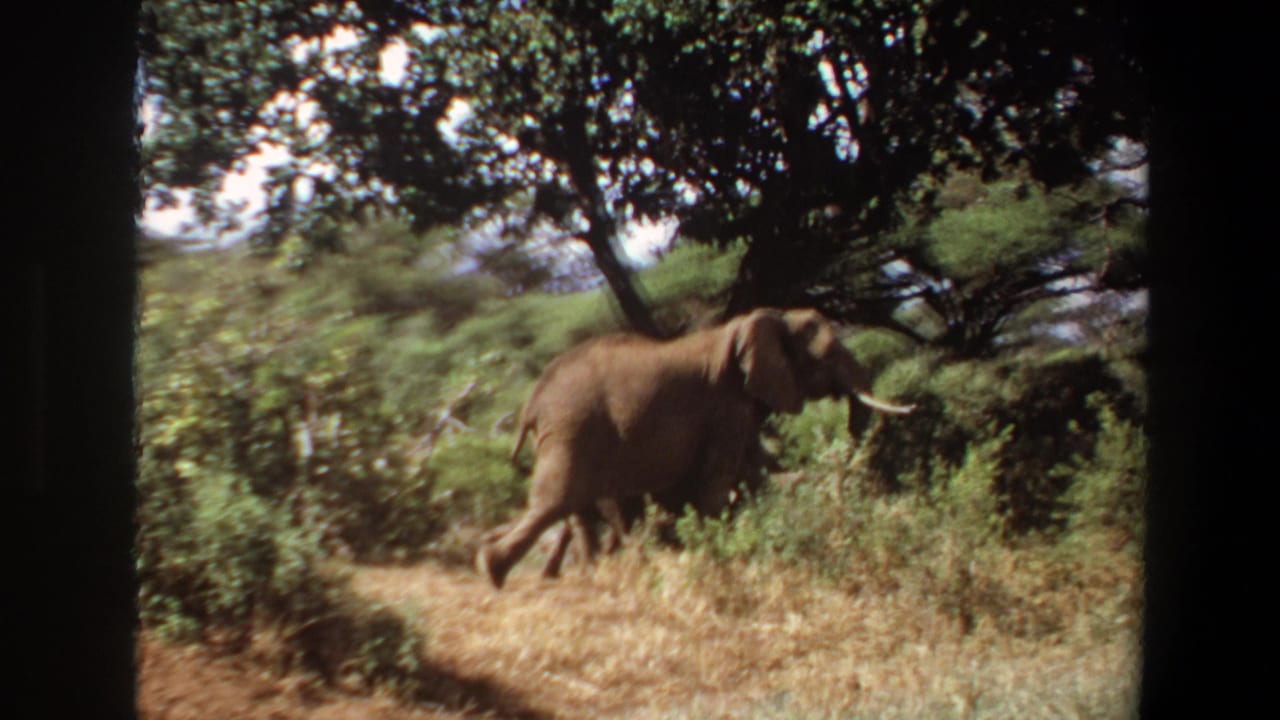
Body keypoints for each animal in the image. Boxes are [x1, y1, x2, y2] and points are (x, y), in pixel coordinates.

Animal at [476, 307, 914, 589]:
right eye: (826, 358)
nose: (910, 407)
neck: (755, 323)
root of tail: (532, 401)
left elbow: (753, 467)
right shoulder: (725, 403)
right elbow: (720, 479)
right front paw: (718, 555)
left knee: (576, 508)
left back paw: (591, 575)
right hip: (574, 425)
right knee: (558, 500)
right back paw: (494, 570)